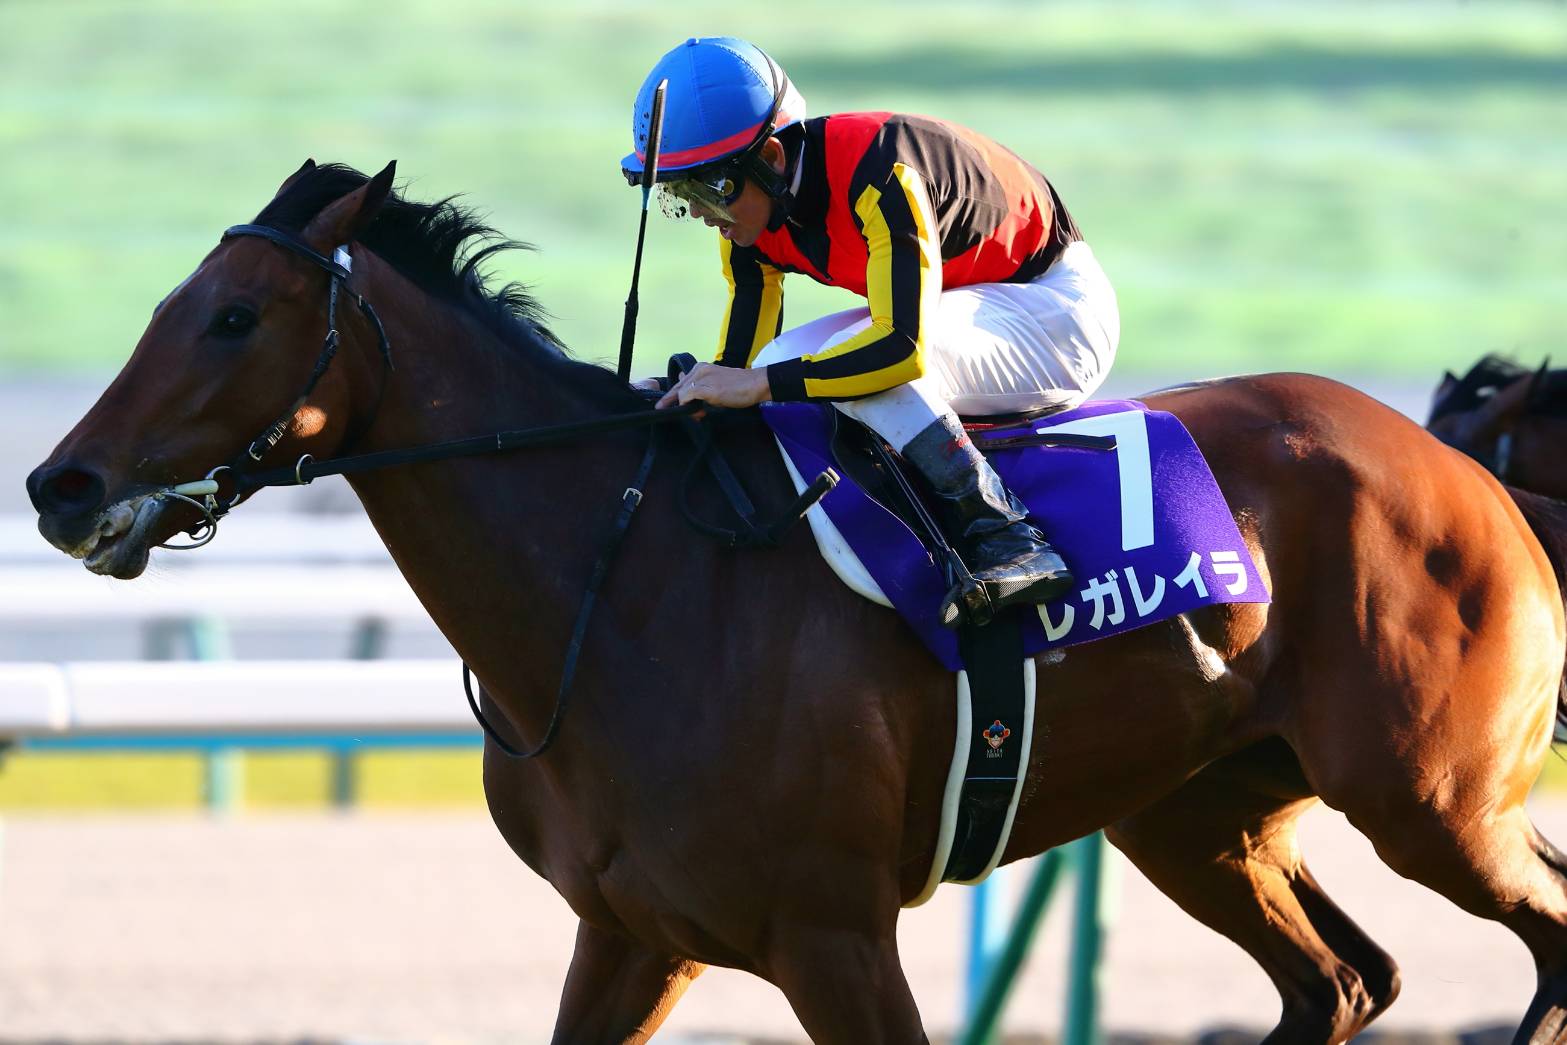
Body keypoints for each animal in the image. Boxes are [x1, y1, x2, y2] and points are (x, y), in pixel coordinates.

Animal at [25, 160, 1567, 1044]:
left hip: (1433, 800)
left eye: (232, 316)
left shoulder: (833, 938)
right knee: (1340, 982)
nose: (56, 481)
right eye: (169, 302)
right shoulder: (633, 932)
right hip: (1197, 813)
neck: (624, 596)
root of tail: (1455, 464)